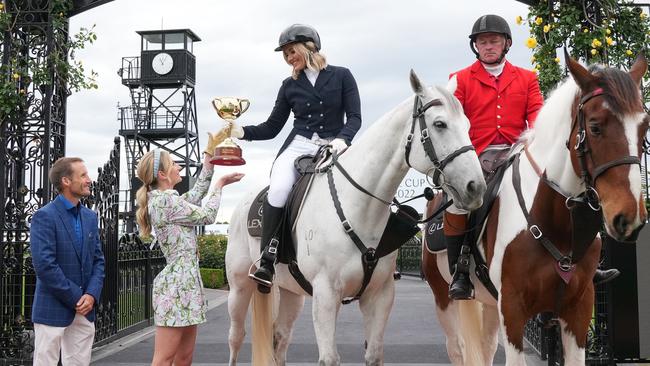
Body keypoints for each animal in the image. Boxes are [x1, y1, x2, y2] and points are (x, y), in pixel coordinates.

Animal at [225, 70, 484, 364]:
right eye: (440, 124)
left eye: (467, 124)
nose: (475, 186)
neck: (360, 208)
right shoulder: (325, 295)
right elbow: (329, 358)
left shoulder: (379, 296)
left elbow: (373, 354)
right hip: (239, 287)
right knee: (236, 337)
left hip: (291, 292)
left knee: (279, 340)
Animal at [420, 54, 644, 366]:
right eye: (596, 126)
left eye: (644, 126)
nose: (628, 217)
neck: (556, 221)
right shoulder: (512, 309)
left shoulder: (578, 309)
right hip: (444, 297)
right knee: (457, 348)